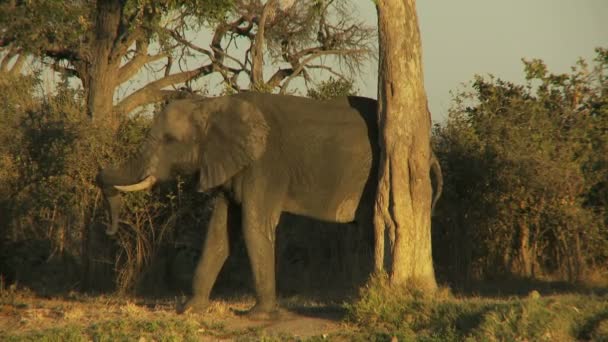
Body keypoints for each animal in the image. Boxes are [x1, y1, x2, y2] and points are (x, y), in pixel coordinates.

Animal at [98, 92, 442, 320]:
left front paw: (255, 316)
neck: (211, 104)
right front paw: (189, 309)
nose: (109, 229)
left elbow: (253, 225)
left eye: (170, 140)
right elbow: (219, 232)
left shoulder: (264, 165)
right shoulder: (231, 166)